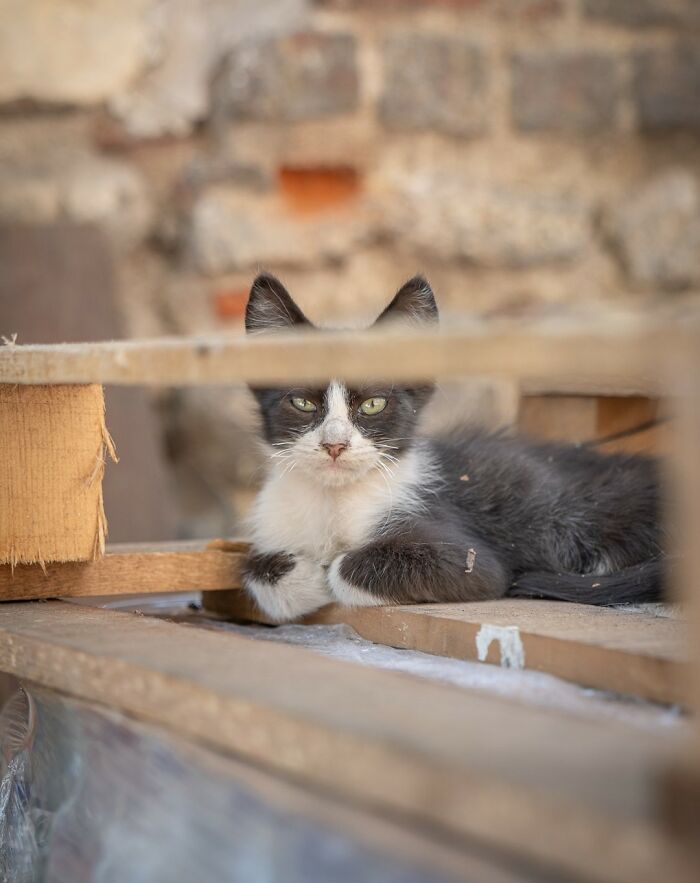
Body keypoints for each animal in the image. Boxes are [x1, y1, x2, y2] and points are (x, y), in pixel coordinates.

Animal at [241, 272, 660, 624]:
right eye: (302, 403)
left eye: (373, 404)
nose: (335, 445)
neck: (332, 499)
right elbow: (254, 568)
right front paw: (302, 573)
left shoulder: (471, 558)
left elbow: (349, 567)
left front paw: (323, 572)